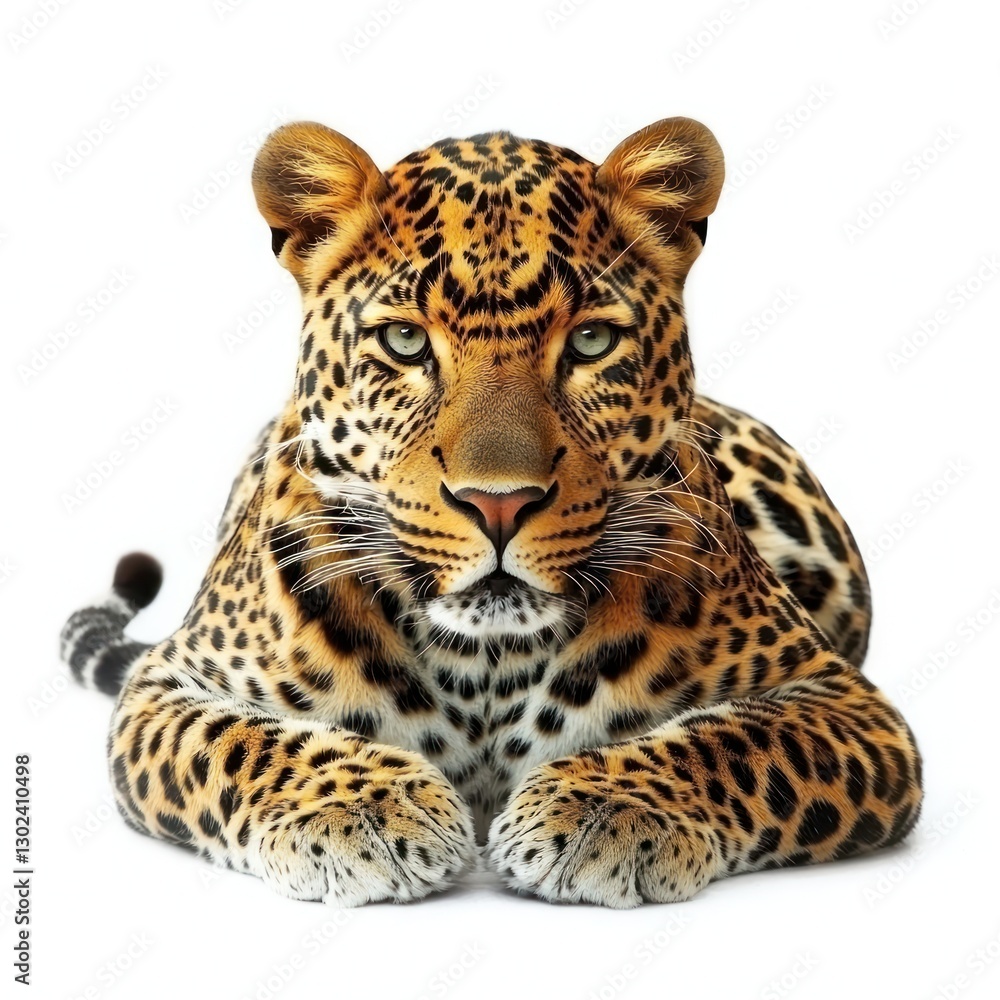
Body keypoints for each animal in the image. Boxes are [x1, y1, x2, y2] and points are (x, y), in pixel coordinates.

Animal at [60, 117, 921, 907]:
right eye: (406, 342)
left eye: (592, 341)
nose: (497, 503)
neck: (487, 665)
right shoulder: (167, 686)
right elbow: (247, 743)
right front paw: (368, 808)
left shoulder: (840, 698)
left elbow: (733, 743)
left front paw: (600, 808)